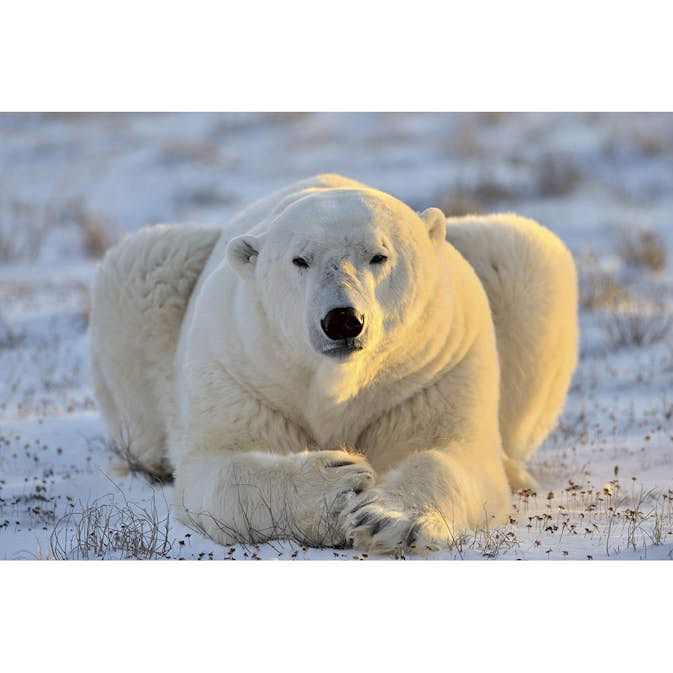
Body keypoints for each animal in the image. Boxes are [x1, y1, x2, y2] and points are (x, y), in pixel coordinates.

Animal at [90, 173, 578, 555]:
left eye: (379, 255)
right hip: (154, 279)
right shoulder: (239, 368)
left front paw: (388, 520)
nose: (343, 320)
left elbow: (452, 453)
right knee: (143, 263)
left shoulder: (436, 368)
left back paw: (516, 471)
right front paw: (339, 485)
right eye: (300, 259)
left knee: (523, 252)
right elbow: (218, 465)